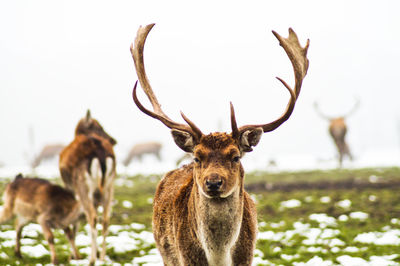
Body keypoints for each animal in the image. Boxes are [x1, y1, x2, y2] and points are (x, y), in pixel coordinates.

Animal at [59, 109, 117, 264]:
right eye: (99, 127)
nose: (113, 140)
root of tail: (100, 153)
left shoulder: (70, 188)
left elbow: (75, 221)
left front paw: (73, 256)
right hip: (109, 185)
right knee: (105, 219)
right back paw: (102, 258)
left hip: (82, 185)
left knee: (92, 217)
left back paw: (91, 259)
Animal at [131, 23, 310, 264]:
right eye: (197, 157)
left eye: (235, 156)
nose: (213, 182)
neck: (219, 257)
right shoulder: (186, 258)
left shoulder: (247, 257)